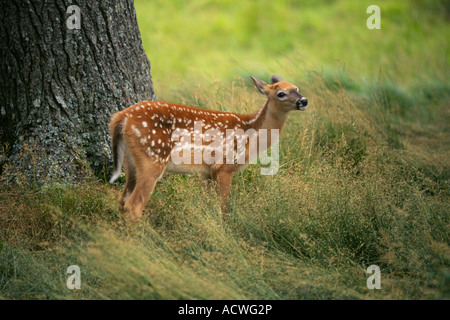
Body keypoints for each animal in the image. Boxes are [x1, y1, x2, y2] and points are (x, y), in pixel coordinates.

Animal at [109, 75, 308, 222]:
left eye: (297, 88)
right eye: (281, 93)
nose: (304, 101)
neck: (250, 132)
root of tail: (122, 117)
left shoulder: (207, 171)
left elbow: (208, 204)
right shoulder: (224, 166)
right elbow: (224, 205)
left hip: (131, 162)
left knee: (122, 201)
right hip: (152, 157)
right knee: (133, 206)